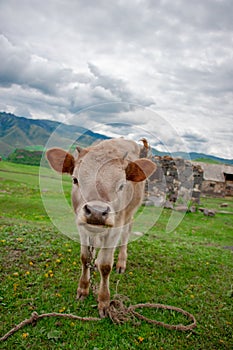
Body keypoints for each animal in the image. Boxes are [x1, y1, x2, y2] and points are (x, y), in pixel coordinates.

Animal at [46, 137, 156, 318]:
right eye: (75, 180)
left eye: (121, 185)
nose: (96, 212)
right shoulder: (82, 226)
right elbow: (85, 258)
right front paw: (83, 288)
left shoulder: (115, 228)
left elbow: (105, 266)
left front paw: (104, 300)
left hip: (129, 214)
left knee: (126, 234)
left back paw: (121, 262)